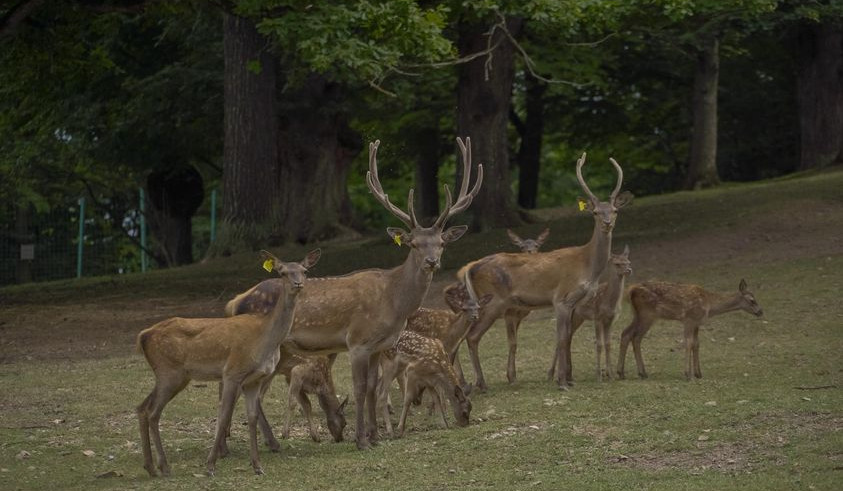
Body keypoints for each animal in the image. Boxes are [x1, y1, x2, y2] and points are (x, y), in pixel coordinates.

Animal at [135, 250, 320, 476]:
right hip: (170, 372)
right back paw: (164, 466)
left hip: (172, 376)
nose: (298, 283)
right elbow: (223, 416)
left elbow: (251, 417)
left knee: (142, 407)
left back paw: (151, 467)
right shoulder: (232, 372)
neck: (265, 339)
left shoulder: (254, 379)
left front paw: (257, 466)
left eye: (304, 271)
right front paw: (210, 465)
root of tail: (143, 335)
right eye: (283, 272)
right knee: (153, 412)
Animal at [221, 137, 482, 450]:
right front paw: (361, 440)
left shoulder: (378, 346)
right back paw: (263, 443)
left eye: (441, 243)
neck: (394, 301)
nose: (432, 261)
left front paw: (375, 436)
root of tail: (235, 302)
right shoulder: (357, 341)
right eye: (414, 244)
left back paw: (261, 444)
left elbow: (371, 389)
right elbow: (359, 389)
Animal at [548, 246, 632, 384]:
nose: (629, 270)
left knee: (568, 337)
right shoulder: (597, 317)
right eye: (617, 264)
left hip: (578, 318)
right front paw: (599, 376)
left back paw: (569, 374)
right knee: (561, 338)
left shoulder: (610, 319)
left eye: (628, 262)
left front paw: (610, 375)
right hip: (572, 316)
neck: (609, 301)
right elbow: (599, 344)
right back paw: (550, 374)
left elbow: (608, 344)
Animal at [616, 280, 768, 380]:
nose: (760, 311)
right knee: (634, 336)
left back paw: (632, 372)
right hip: (647, 315)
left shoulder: (697, 323)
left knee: (627, 334)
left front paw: (698, 373)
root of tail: (631, 290)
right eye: (752, 300)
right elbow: (688, 343)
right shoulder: (689, 319)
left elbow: (696, 344)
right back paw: (630, 372)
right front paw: (687, 373)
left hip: (639, 314)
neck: (709, 305)